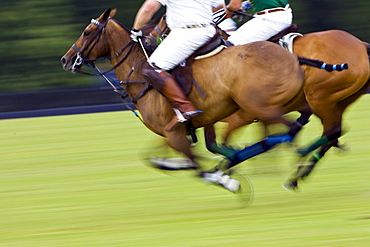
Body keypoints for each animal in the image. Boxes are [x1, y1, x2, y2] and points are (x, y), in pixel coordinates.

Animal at [61, 8, 306, 189]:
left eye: (87, 32)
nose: (66, 59)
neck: (140, 74)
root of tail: (291, 56)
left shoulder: (174, 132)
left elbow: (199, 167)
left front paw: (225, 178)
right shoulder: (196, 124)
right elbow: (186, 155)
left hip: (258, 107)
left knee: (288, 131)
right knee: (292, 129)